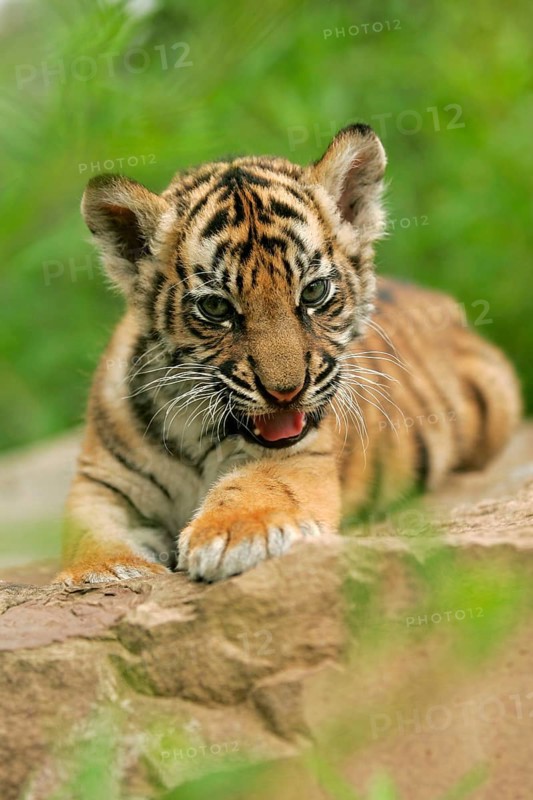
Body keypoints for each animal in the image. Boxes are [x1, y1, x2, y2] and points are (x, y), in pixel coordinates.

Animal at [56, 124, 521, 585]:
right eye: (216, 308)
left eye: (313, 292)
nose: (286, 393)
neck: (197, 431)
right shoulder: (101, 480)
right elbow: (88, 531)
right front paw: (103, 571)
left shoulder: (301, 455)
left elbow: (257, 485)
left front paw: (230, 535)